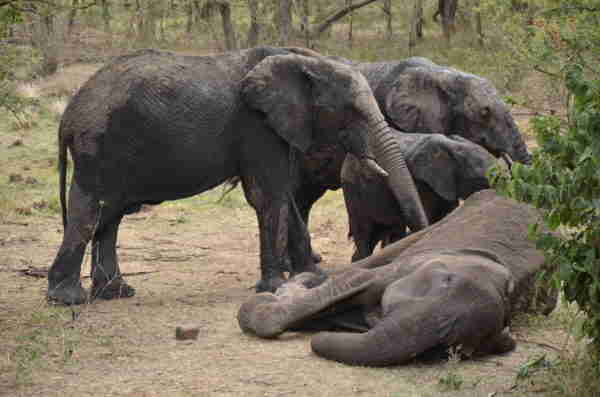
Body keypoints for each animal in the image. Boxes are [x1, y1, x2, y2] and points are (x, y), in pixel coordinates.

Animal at [50, 47, 426, 306]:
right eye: (351, 111)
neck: (303, 60)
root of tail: (69, 114)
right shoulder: (257, 126)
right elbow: (268, 195)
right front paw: (276, 287)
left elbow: (283, 196)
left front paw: (313, 277)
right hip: (98, 147)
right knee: (91, 210)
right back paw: (68, 299)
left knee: (109, 215)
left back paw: (116, 292)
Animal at [237, 190, 556, 366]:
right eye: (442, 284)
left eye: (455, 347)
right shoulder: (412, 264)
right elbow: (357, 279)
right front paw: (271, 298)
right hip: (452, 217)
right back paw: (303, 278)